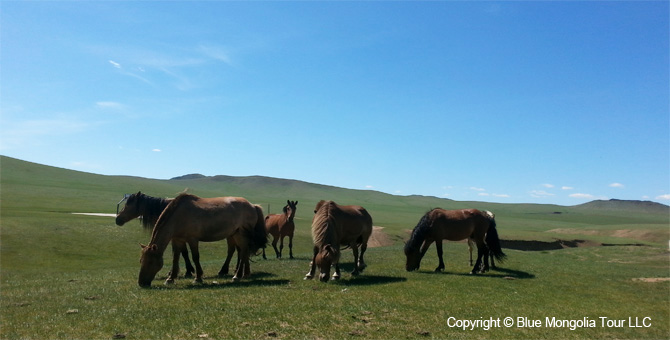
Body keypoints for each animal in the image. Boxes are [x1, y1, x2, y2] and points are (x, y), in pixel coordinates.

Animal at [139, 194, 268, 286]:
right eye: (141, 261)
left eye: (150, 262)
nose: (141, 283)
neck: (179, 216)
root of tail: (252, 206)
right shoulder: (177, 240)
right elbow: (176, 258)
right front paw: (170, 279)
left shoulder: (192, 239)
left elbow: (195, 257)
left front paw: (198, 278)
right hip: (236, 235)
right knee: (244, 252)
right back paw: (244, 274)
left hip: (240, 235)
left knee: (243, 252)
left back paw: (236, 276)